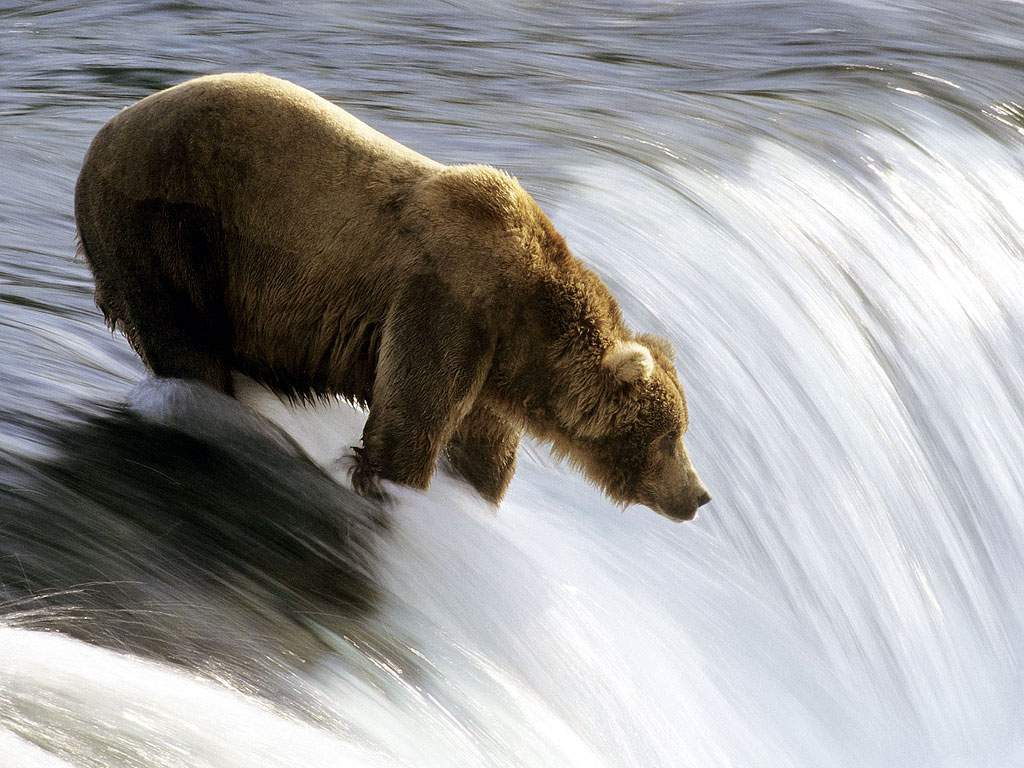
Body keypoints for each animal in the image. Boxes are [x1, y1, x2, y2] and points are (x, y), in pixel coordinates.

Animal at [75, 73, 712, 524]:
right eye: (669, 435)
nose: (700, 495)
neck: (524, 323)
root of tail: (102, 134)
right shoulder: (447, 303)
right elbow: (409, 423)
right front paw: (393, 491)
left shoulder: (491, 366)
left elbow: (483, 451)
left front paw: (475, 496)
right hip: (169, 226)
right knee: (184, 339)